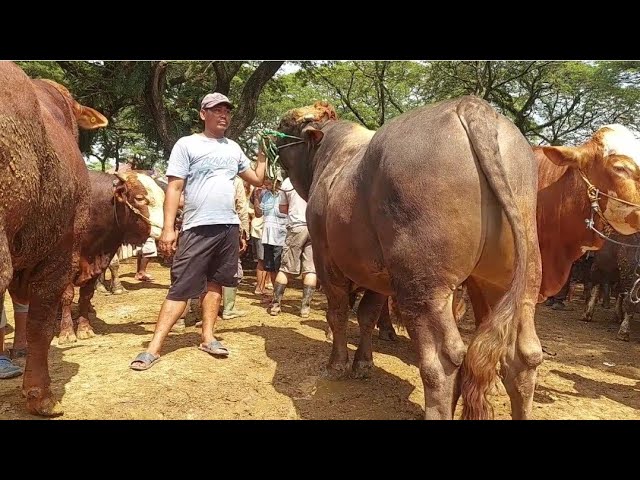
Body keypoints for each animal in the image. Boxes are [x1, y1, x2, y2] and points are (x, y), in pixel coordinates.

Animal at [272, 97, 544, 420]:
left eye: (288, 124)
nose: (272, 138)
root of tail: (471, 106)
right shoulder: (376, 273)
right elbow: (367, 315)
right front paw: (363, 364)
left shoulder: (326, 257)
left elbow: (337, 312)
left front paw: (336, 365)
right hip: (517, 279)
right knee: (525, 355)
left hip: (422, 284)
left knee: (443, 359)